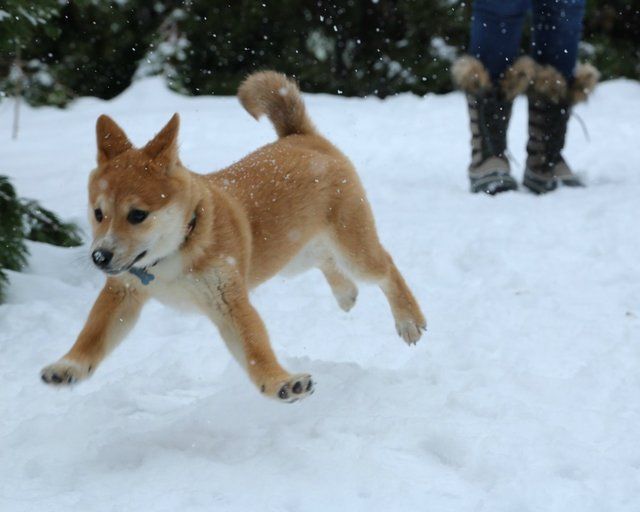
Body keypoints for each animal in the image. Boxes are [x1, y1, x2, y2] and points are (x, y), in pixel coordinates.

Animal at [40, 70, 424, 402]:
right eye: (98, 213)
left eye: (138, 215)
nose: (99, 257)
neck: (175, 254)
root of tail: (301, 137)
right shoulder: (123, 292)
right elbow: (93, 335)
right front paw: (68, 367)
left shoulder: (228, 299)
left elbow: (255, 350)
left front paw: (282, 384)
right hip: (290, 253)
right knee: (324, 260)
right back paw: (346, 293)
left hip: (352, 246)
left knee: (385, 267)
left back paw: (409, 320)